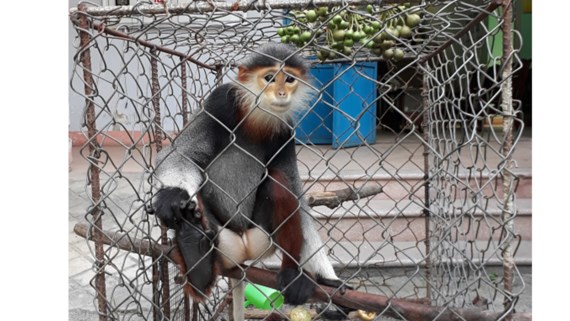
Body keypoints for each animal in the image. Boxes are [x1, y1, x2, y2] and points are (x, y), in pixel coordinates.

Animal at [151, 43, 346, 320]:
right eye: (270, 78)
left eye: (289, 78)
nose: (282, 92)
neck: (255, 115)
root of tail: (243, 250)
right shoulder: (219, 102)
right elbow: (180, 154)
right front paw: (172, 195)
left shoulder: (286, 130)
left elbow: (297, 194)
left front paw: (327, 277)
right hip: (223, 241)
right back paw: (195, 250)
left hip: (263, 238)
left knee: (278, 181)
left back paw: (292, 273)